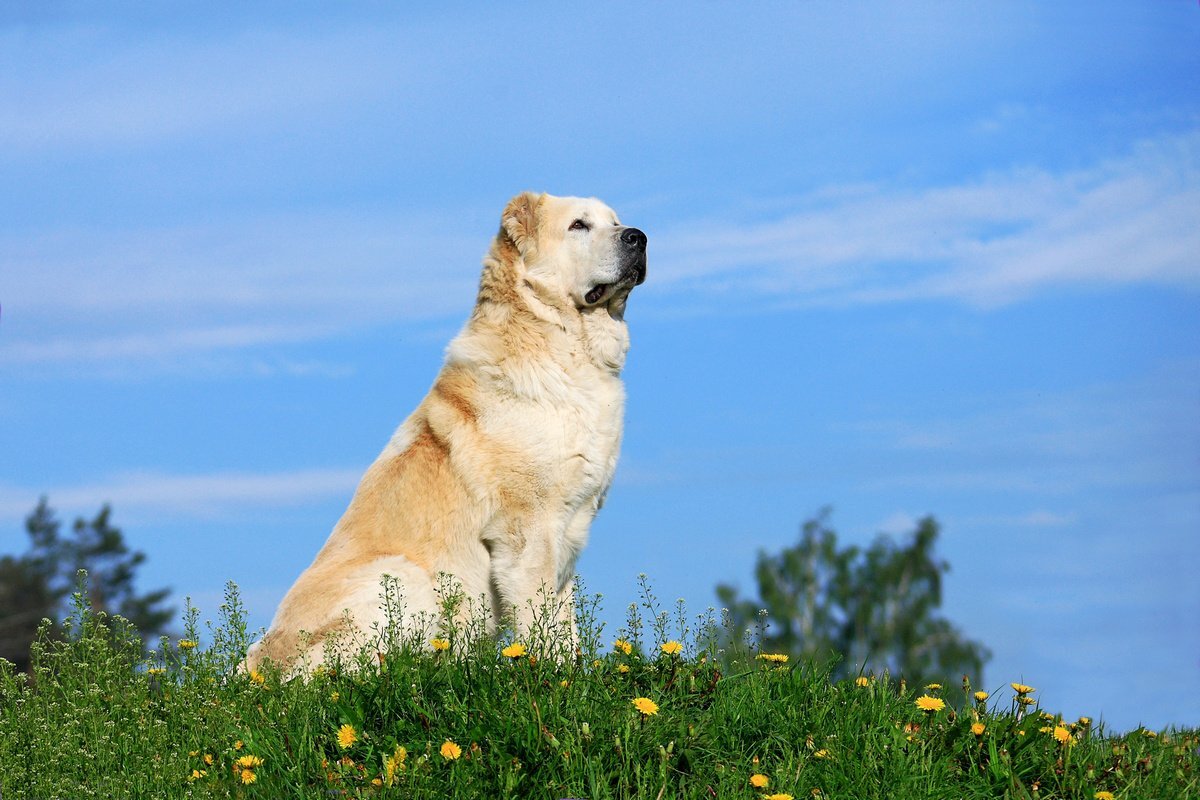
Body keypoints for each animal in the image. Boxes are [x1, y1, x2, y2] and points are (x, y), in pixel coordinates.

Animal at [244, 191, 652, 671]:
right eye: (578, 226)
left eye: (616, 221)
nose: (638, 237)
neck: (563, 344)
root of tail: (255, 668)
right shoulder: (528, 528)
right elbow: (541, 619)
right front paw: (552, 676)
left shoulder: (569, 531)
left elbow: (564, 623)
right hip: (404, 575)